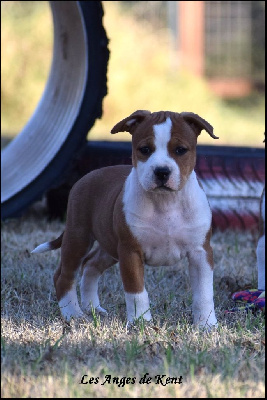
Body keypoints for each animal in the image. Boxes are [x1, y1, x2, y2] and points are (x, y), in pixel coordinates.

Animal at [31, 109, 220, 328]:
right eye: (145, 149)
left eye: (181, 150)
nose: (162, 171)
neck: (165, 202)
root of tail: (85, 177)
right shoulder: (130, 252)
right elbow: (136, 292)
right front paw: (140, 323)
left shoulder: (200, 253)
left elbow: (204, 293)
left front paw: (206, 324)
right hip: (78, 238)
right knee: (64, 276)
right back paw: (73, 314)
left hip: (109, 247)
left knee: (90, 265)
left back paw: (93, 308)